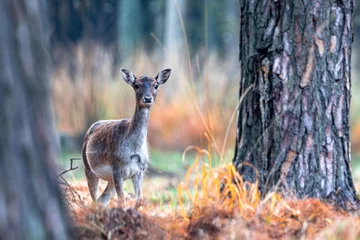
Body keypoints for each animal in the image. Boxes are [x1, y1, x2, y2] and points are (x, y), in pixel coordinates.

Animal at [82, 68, 172, 207]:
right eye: (136, 85)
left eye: (156, 85)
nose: (147, 98)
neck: (133, 150)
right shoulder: (116, 166)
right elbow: (122, 200)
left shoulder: (140, 169)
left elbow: (139, 200)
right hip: (88, 168)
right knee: (95, 199)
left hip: (110, 179)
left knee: (102, 200)